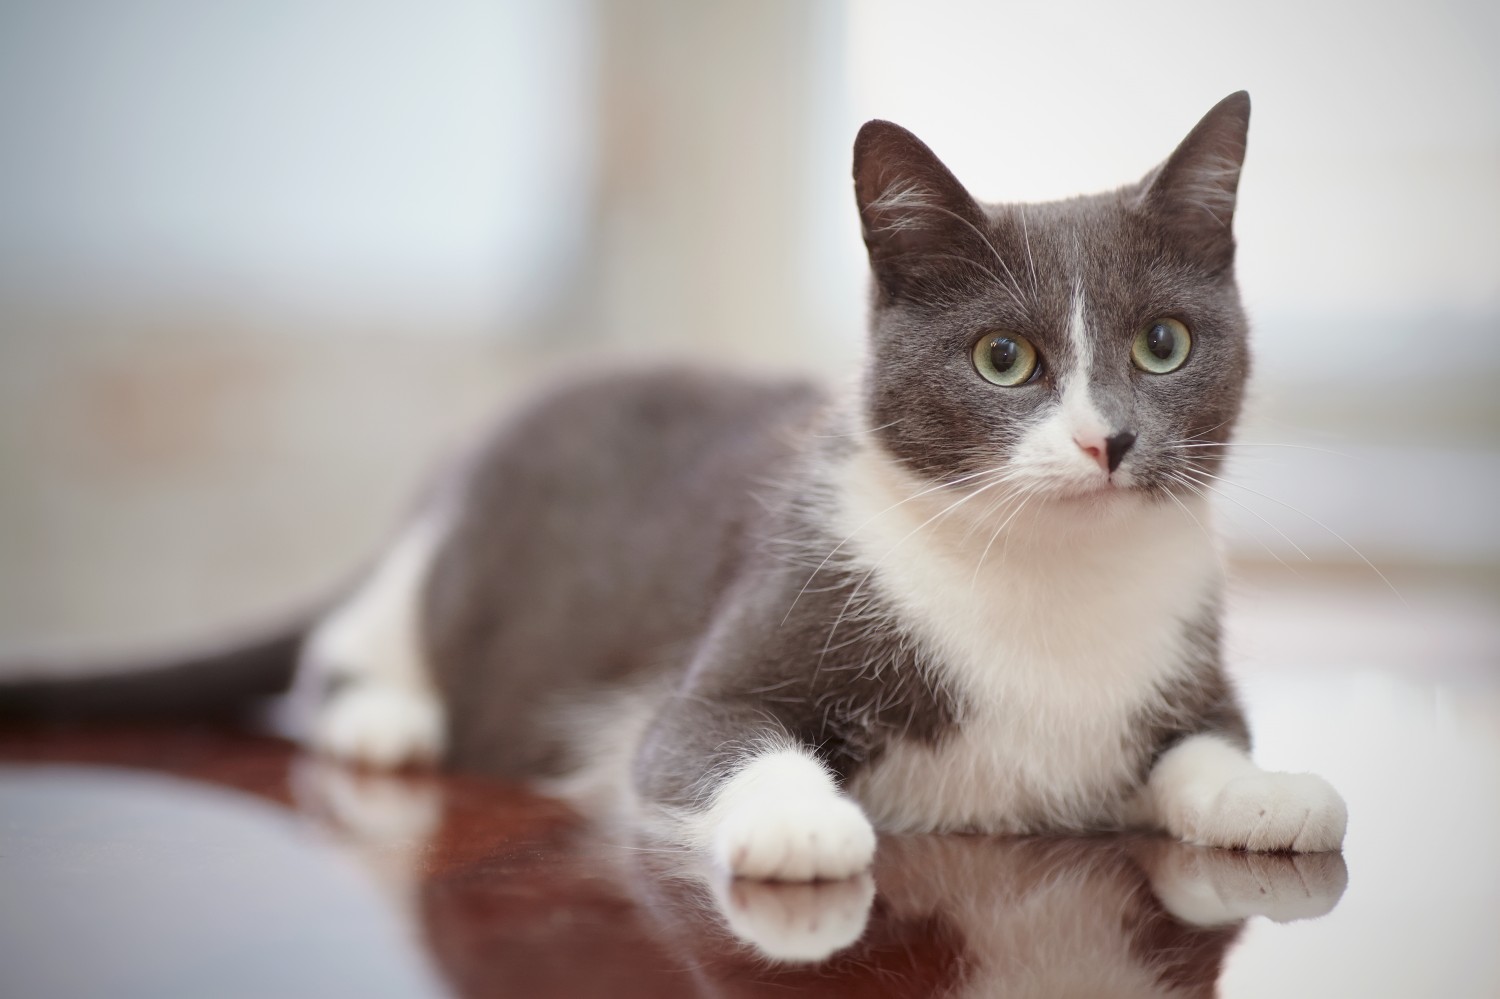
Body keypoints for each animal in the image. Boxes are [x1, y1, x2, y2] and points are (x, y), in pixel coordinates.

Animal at [2, 89, 1350, 876]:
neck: (1047, 576)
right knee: (346, 639)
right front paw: (803, 823)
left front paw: (1264, 792)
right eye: (1004, 359)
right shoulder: (730, 656)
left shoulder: (1186, 658)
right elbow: (704, 738)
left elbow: (1203, 742)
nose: (1106, 443)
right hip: (430, 579)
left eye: (1163, 344)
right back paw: (384, 717)